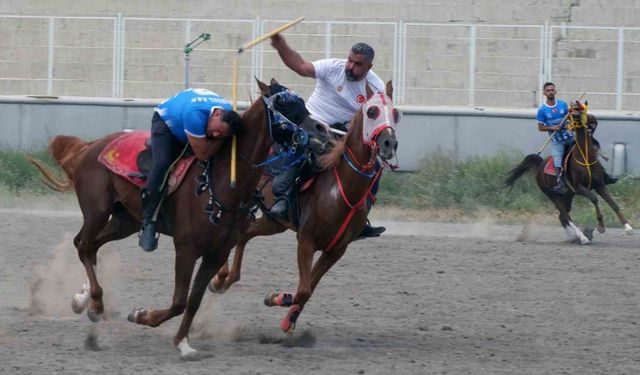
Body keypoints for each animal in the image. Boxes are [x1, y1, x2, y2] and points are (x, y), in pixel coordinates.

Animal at [28, 78, 332, 358]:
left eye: (302, 101)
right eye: (283, 105)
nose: (323, 130)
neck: (223, 182)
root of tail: (90, 147)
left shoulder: (218, 252)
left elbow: (194, 299)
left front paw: (182, 342)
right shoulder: (186, 248)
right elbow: (179, 301)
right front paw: (142, 316)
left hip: (125, 221)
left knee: (91, 247)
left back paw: (86, 302)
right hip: (97, 212)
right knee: (82, 244)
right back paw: (94, 302)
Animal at [210, 81, 400, 332]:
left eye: (395, 113)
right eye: (372, 111)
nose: (389, 143)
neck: (340, 189)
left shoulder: (335, 250)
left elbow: (308, 290)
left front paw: (286, 312)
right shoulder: (306, 241)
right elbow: (303, 289)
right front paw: (279, 300)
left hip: (274, 222)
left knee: (245, 235)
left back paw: (226, 279)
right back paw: (220, 276)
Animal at [504, 101, 636, 244]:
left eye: (582, 109)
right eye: (574, 112)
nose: (590, 118)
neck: (585, 157)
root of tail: (540, 165)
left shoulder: (600, 185)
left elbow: (613, 203)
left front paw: (628, 227)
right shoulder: (579, 187)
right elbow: (594, 198)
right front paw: (601, 227)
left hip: (567, 196)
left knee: (562, 217)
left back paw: (573, 236)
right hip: (553, 196)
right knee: (566, 215)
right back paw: (582, 238)